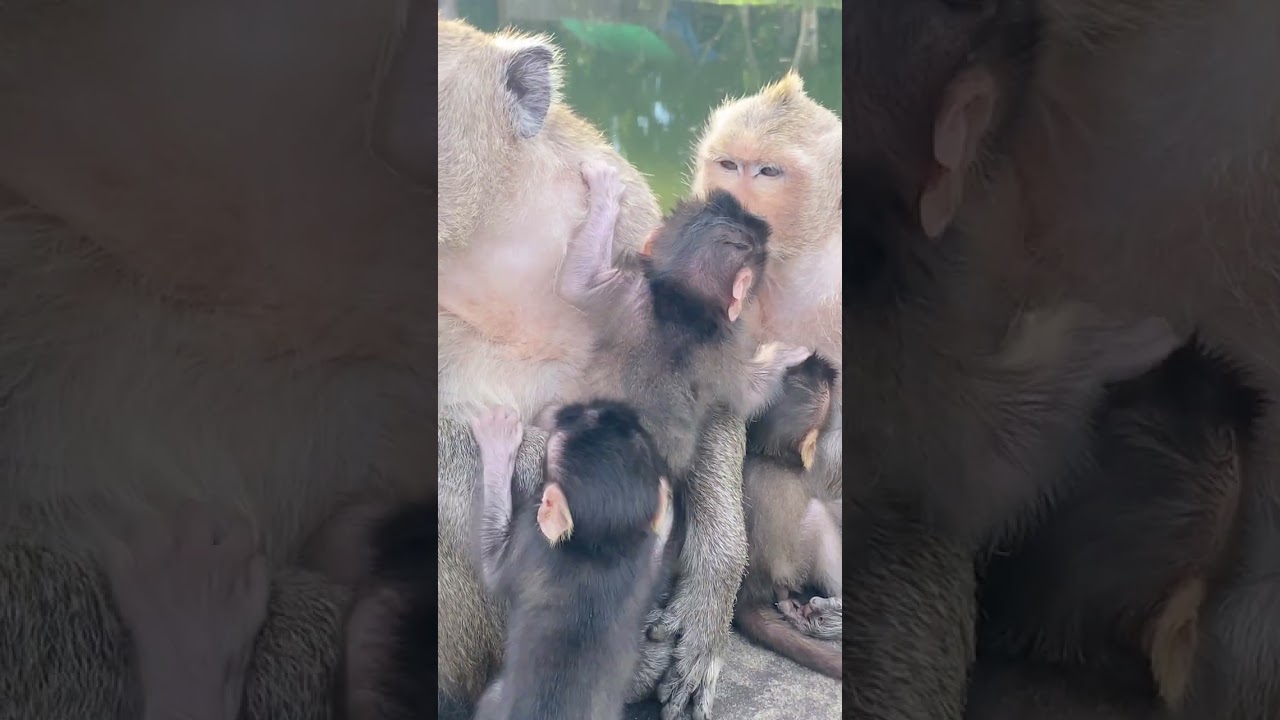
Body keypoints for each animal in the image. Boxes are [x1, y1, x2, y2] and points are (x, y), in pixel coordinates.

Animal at [542, 162, 811, 481]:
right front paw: (784, 356)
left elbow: (575, 284)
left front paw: (605, 193)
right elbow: (750, 394)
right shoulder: (725, 347)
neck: (682, 300)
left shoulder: (629, 289)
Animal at [733, 352, 842, 679]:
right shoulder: (822, 464)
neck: (771, 455)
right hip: (791, 560)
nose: (824, 366)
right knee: (819, 517)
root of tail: (748, 588)